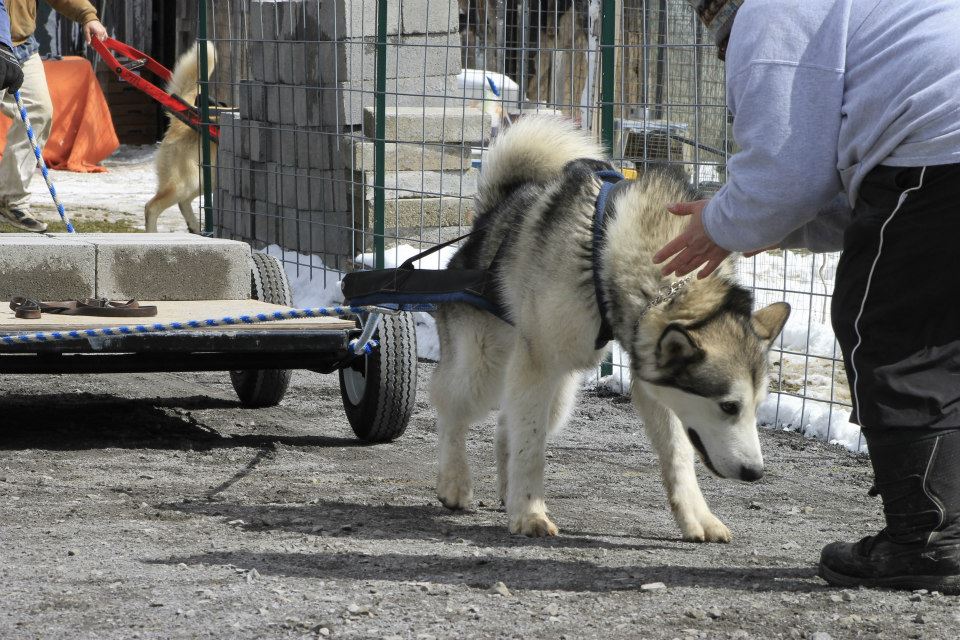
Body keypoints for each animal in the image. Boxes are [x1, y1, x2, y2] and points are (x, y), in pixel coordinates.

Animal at [432, 115, 792, 540]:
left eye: (758, 406)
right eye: (729, 406)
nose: (756, 473)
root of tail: (491, 216)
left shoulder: (650, 376)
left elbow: (678, 454)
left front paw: (697, 517)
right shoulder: (537, 364)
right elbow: (531, 447)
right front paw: (530, 513)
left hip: (559, 392)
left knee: (508, 423)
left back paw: (507, 492)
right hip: (485, 368)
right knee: (452, 409)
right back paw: (455, 481)